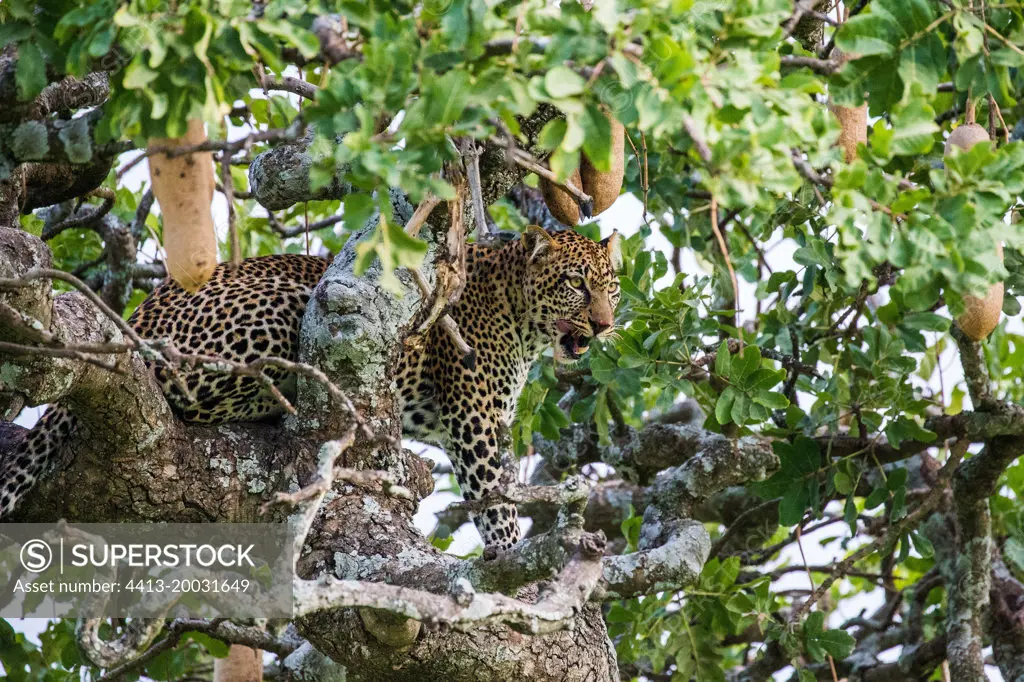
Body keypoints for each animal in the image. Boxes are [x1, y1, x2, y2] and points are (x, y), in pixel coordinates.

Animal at [0, 227, 618, 548]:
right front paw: (515, 568)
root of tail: (135, 318)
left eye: (611, 287)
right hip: (295, 302)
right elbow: (495, 501)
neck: (522, 318)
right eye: (575, 285)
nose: (606, 324)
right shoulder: (474, 418)